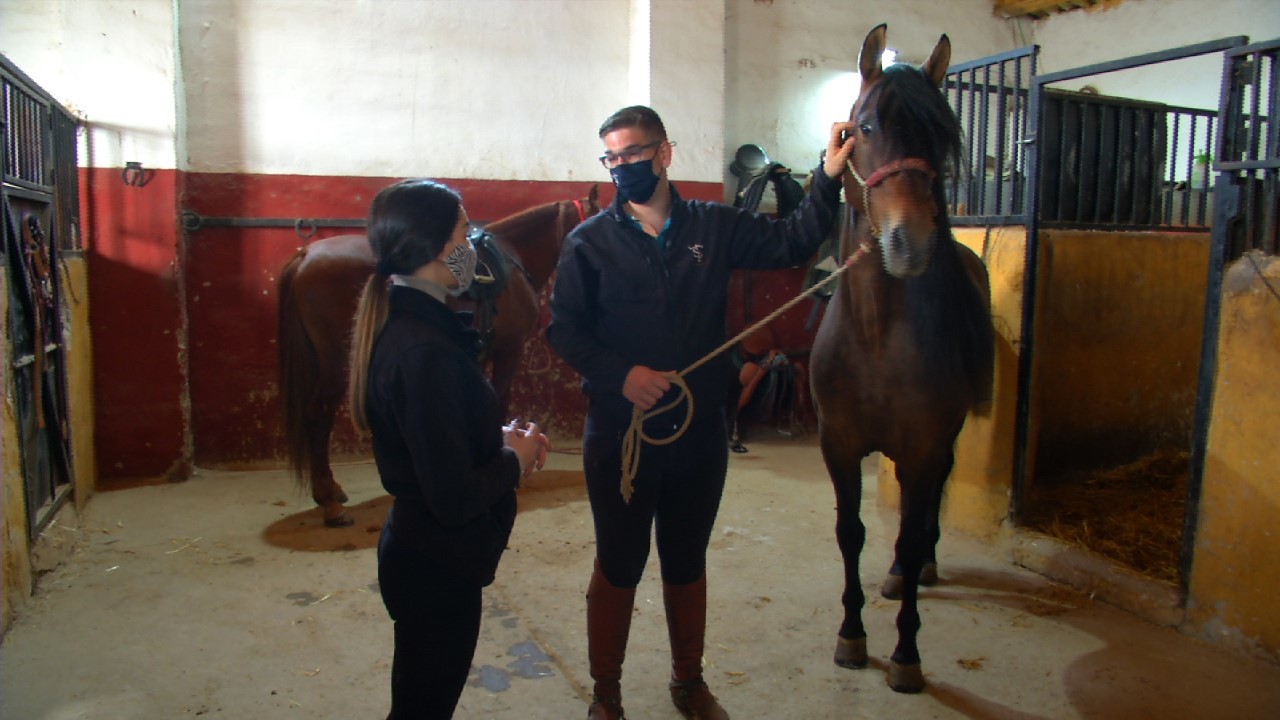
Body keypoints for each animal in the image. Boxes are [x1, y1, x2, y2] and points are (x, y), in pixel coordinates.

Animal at [277, 183, 596, 520]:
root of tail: (305, 255)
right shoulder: (509, 350)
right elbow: (500, 400)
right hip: (336, 364)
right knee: (317, 416)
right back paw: (330, 502)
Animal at [814, 25, 993, 691]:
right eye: (864, 127)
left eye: (942, 136)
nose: (910, 242)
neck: (875, 334)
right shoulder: (837, 442)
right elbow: (851, 532)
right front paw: (852, 635)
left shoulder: (925, 442)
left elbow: (913, 534)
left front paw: (906, 656)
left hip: (942, 440)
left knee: (928, 510)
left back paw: (918, 572)